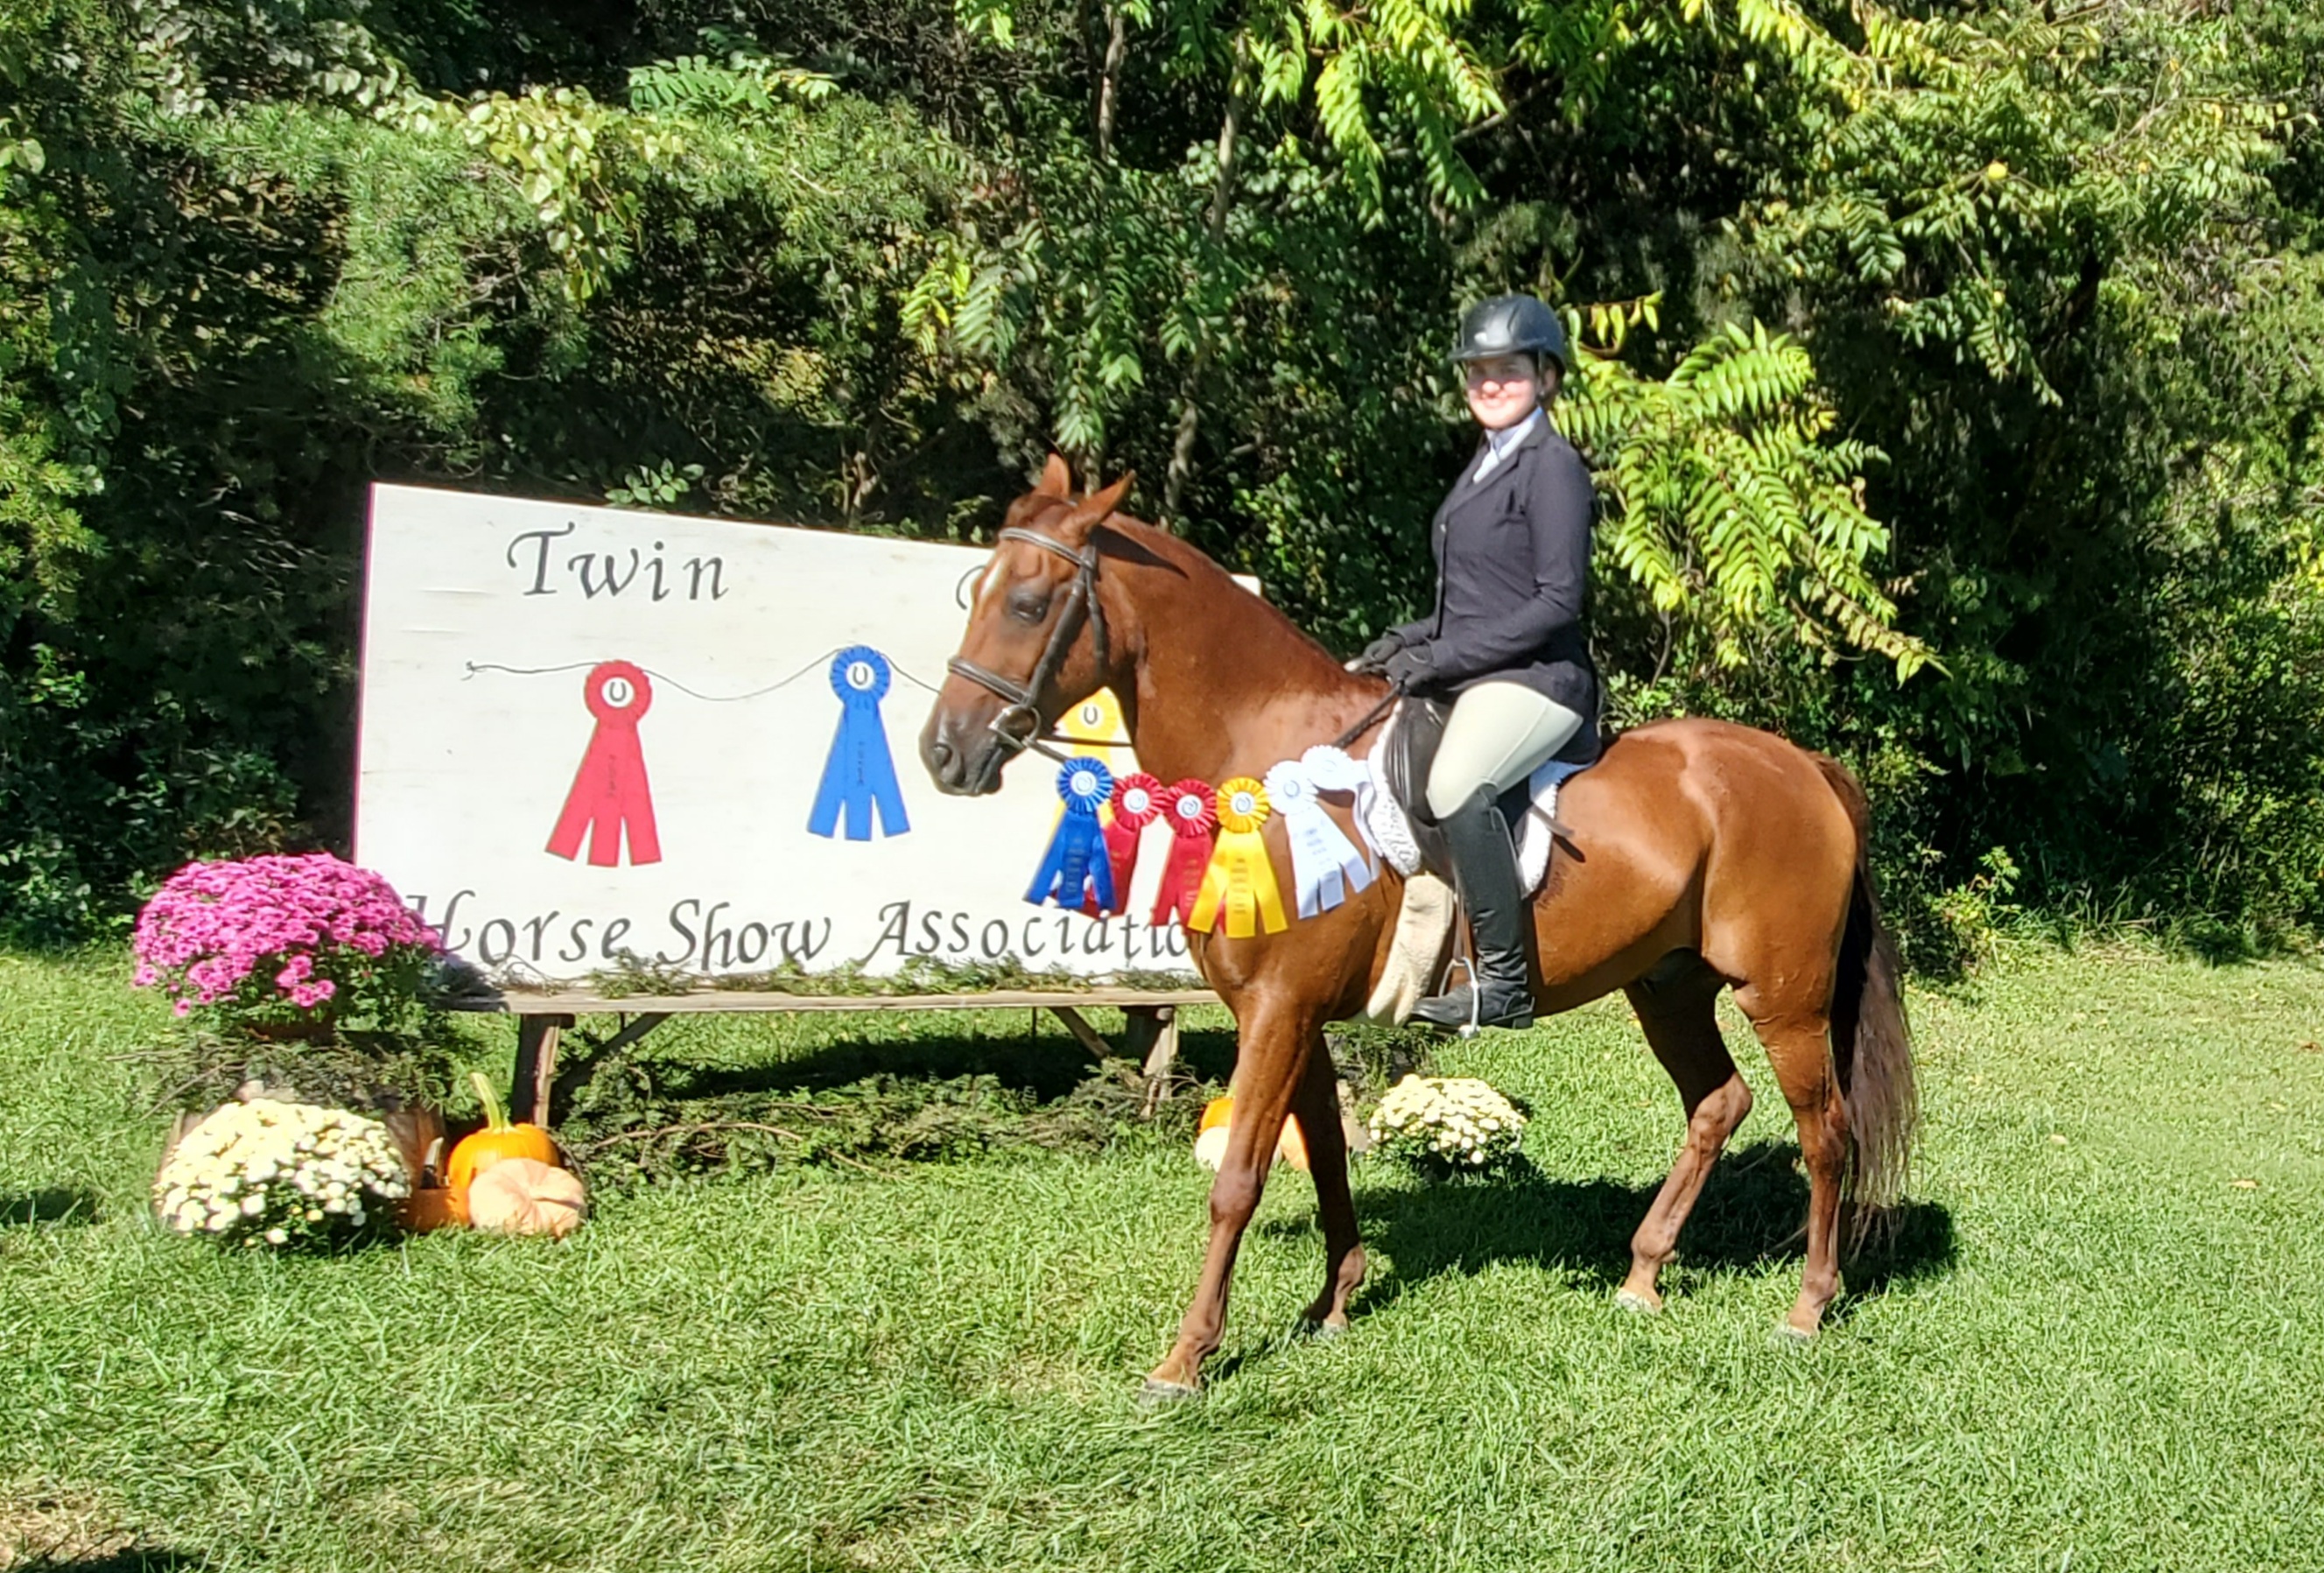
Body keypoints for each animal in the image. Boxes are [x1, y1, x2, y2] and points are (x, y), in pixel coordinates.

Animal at [916, 457, 1914, 1403]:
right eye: (973, 595)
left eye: (1029, 604)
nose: (944, 753)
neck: (1265, 767)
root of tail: (1804, 765)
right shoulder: (1296, 1014)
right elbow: (1323, 1156)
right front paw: (1332, 1302)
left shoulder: (1275, 1010)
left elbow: (1237, 1180)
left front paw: (1186, 1359)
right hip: (1666, 986)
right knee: (1717, 1104)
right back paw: (1642, 1275)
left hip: (1781, 997)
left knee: (1825, 1131)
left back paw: (1807, 1306)